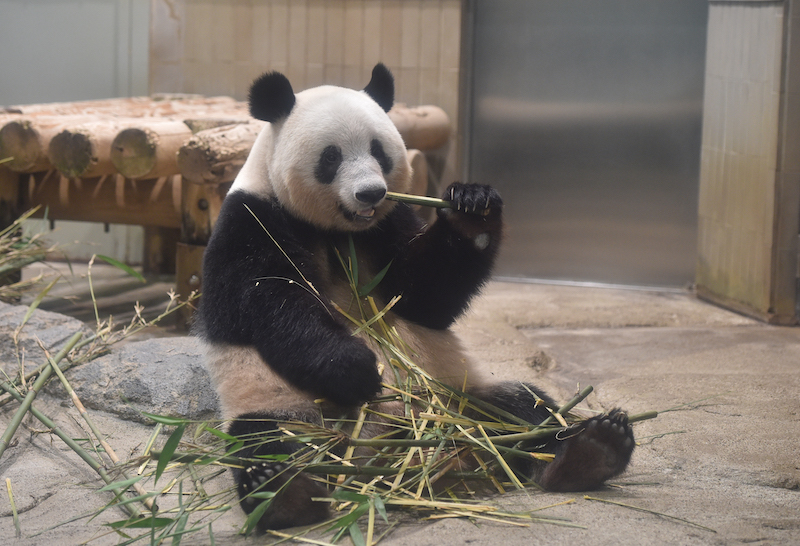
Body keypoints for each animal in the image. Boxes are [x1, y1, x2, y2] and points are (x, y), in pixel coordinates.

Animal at [197, 62, 636, 528]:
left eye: (379, 150)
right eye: (331, 156)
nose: (370, 193)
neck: (337, 231)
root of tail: (382, 450)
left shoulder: (388, 226)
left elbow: (426, 298)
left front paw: (470, 206)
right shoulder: (251, 221)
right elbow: (269, 305)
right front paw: (352, 368)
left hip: (455, 394)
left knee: (523, 410)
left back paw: (589, 451)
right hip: (285, 403)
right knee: (267, 440)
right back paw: (284, 491)